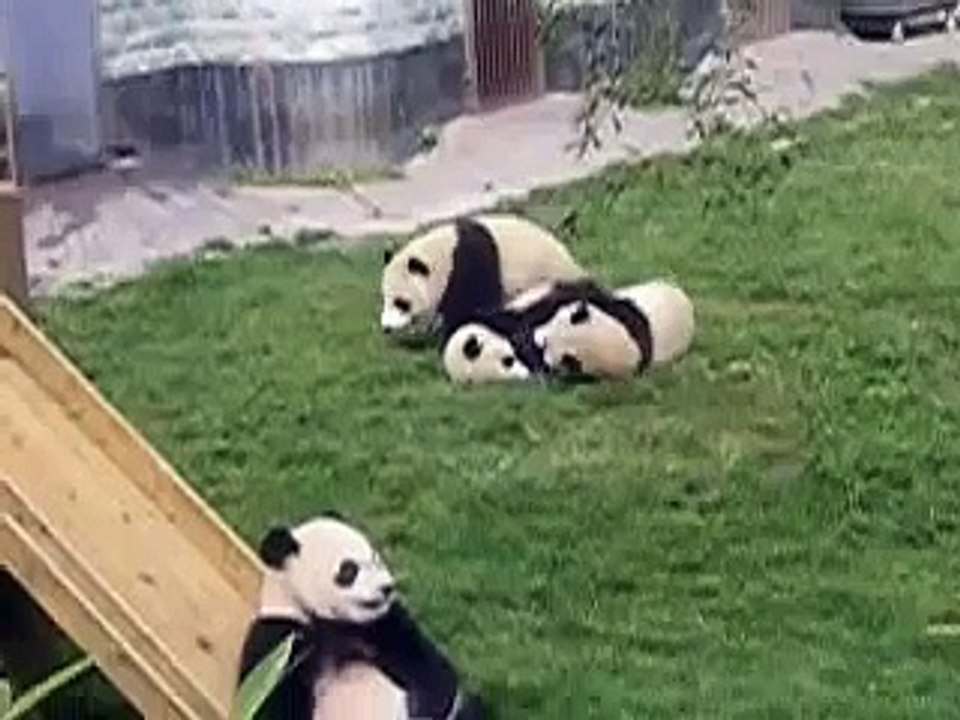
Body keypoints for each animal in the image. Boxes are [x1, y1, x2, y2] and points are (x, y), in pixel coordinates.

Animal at [235, 512, 485, 720]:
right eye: (349, 570)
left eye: (375, 558)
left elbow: (426, 666)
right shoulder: (279, 638)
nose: (387, 588)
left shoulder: (379, 624)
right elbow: (270, 702)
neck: (326, 622)